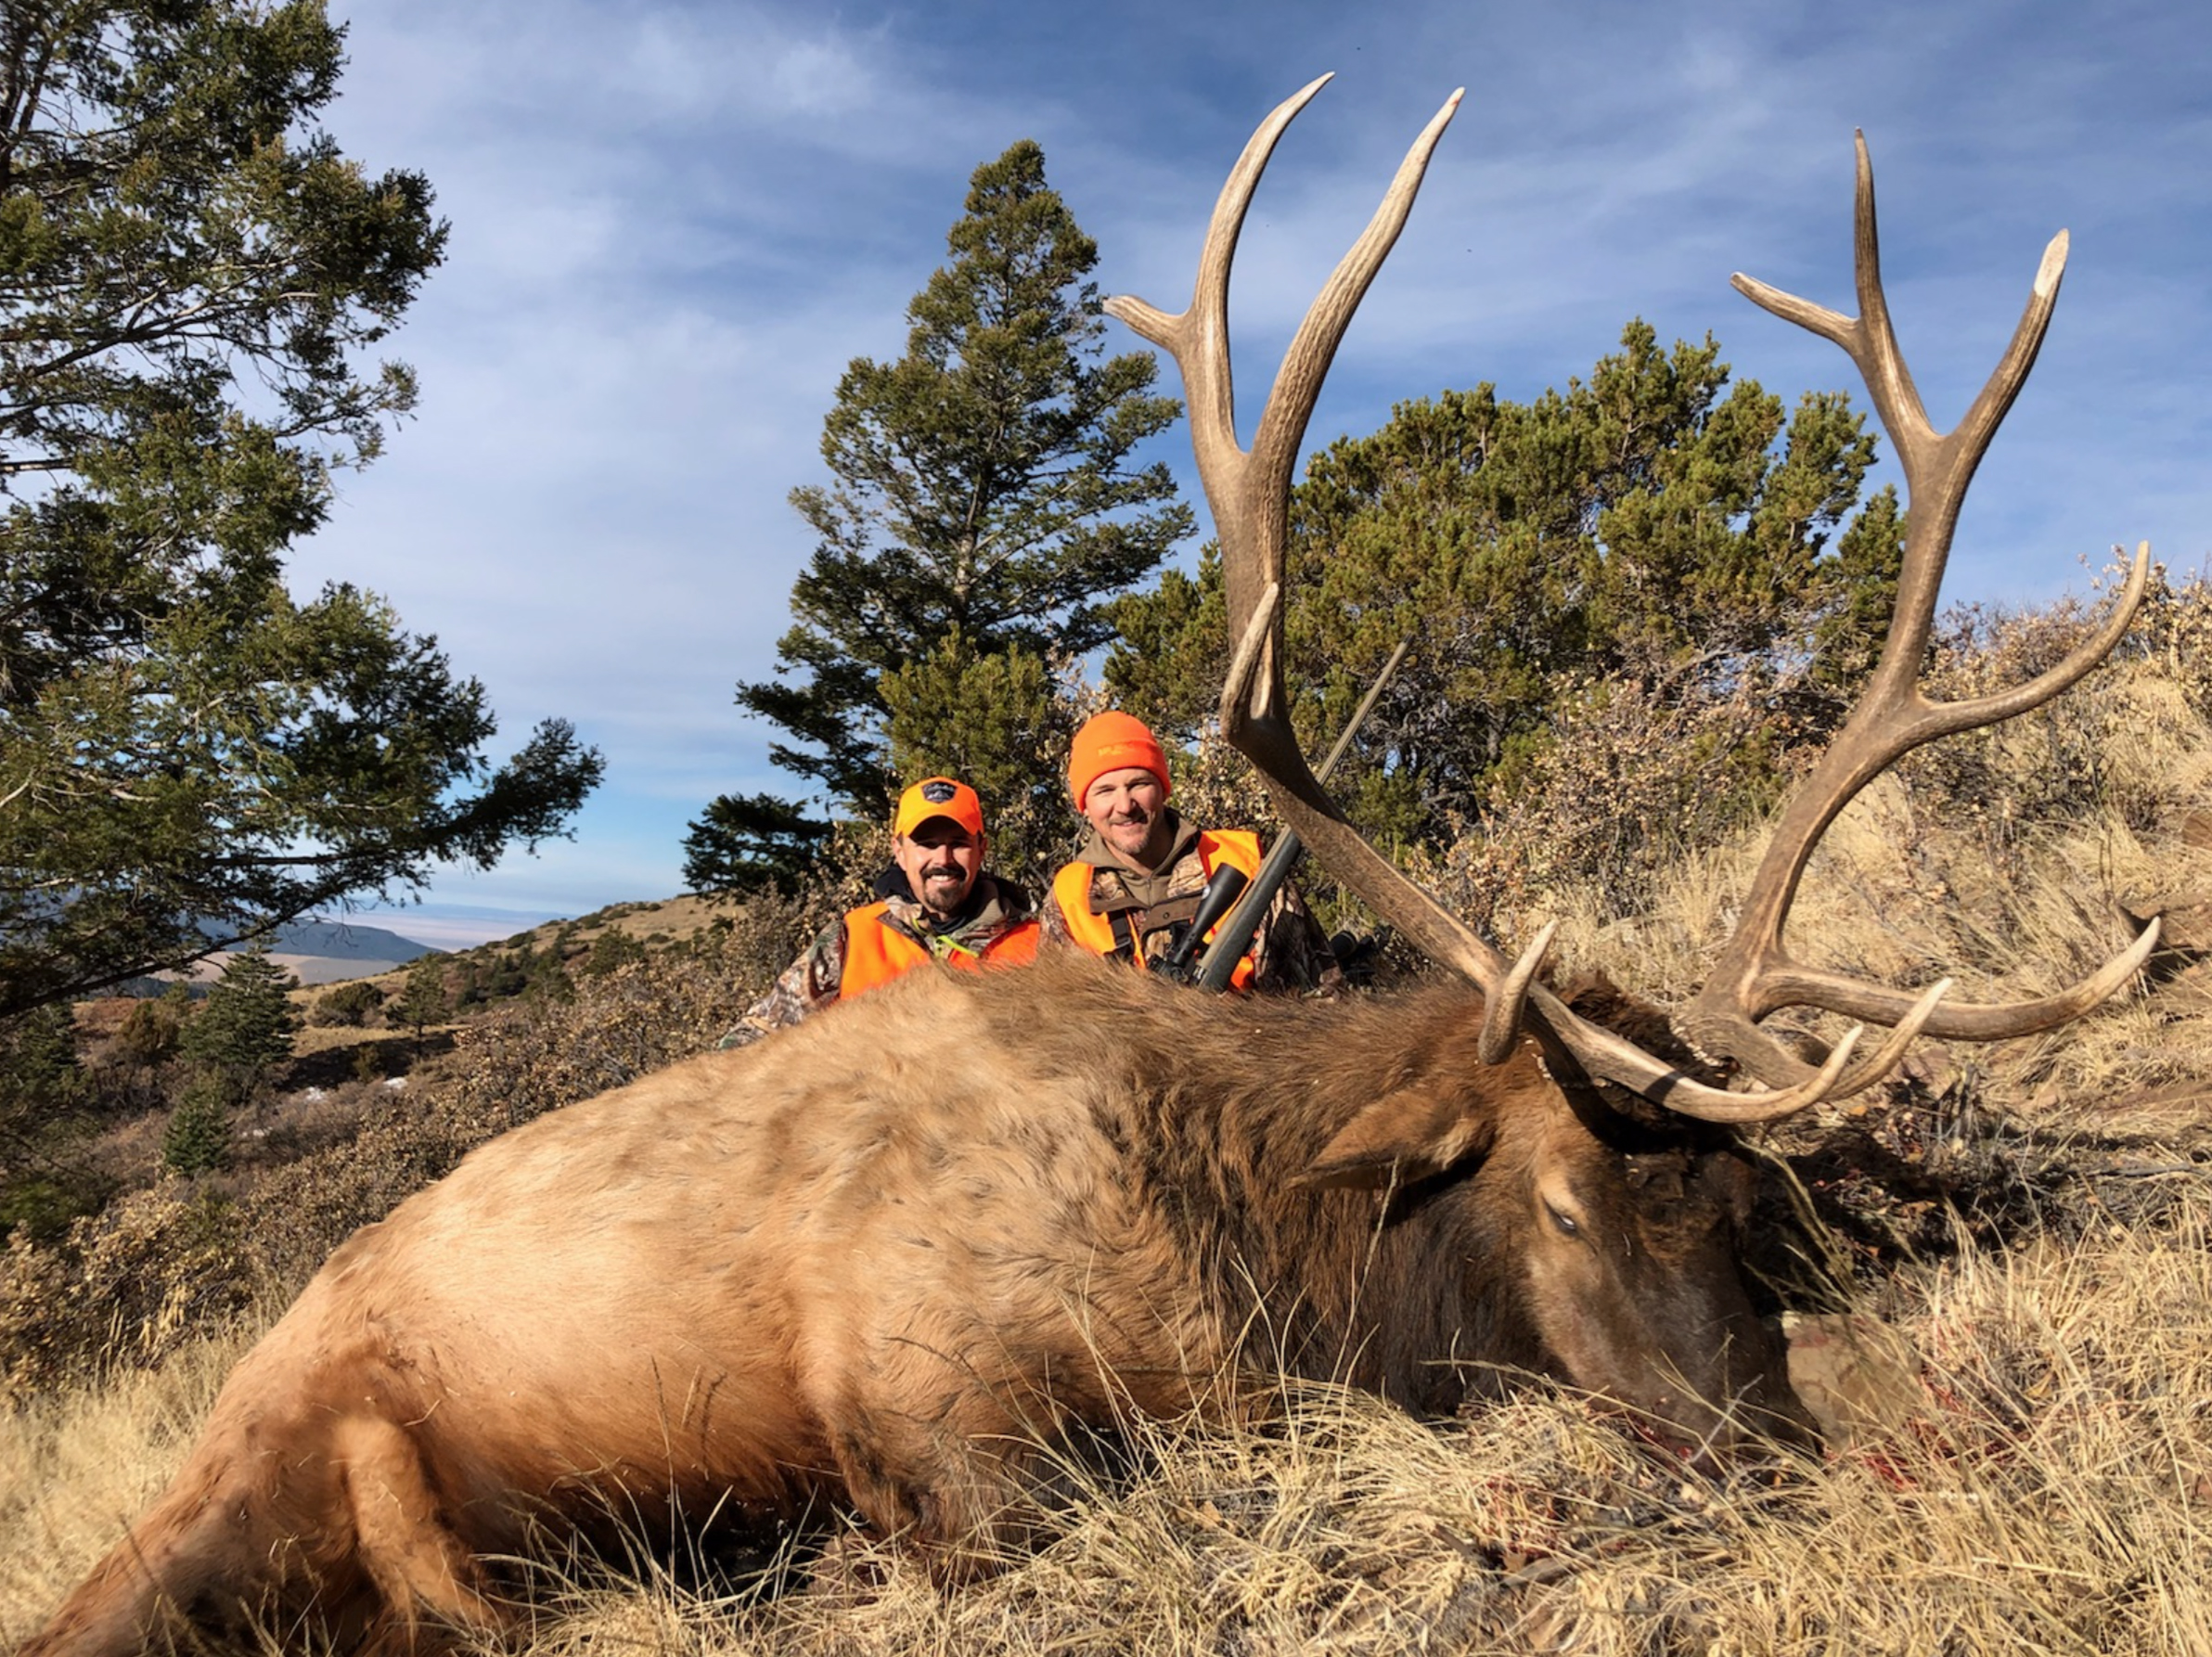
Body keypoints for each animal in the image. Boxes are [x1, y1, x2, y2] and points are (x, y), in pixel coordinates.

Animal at [17, 77, 2158, 1657]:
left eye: (1742, 1212)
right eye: (1560, 1204)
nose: (1771, 1457)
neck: (1259, 1247)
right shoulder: (937, 1416)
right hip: (303, 1452)